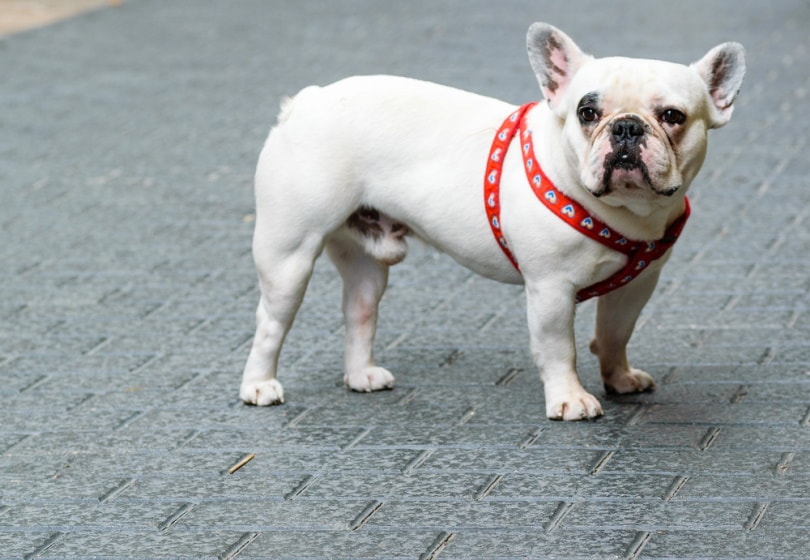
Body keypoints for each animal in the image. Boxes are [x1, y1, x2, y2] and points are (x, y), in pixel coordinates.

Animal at [237, 24, 740, 422]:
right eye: (588, 113)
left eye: (672, 116)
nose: (627, 127)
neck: (625, 211)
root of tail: (306, 101)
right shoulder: (551, 289)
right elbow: (560, 347)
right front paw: (570, 399)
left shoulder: (636, 285)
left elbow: (615, 334)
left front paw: (619, 377)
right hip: (288, 256)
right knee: (271, 321)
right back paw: (258, 385)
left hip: (365, 262)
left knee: (359, 309)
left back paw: (361, 375)